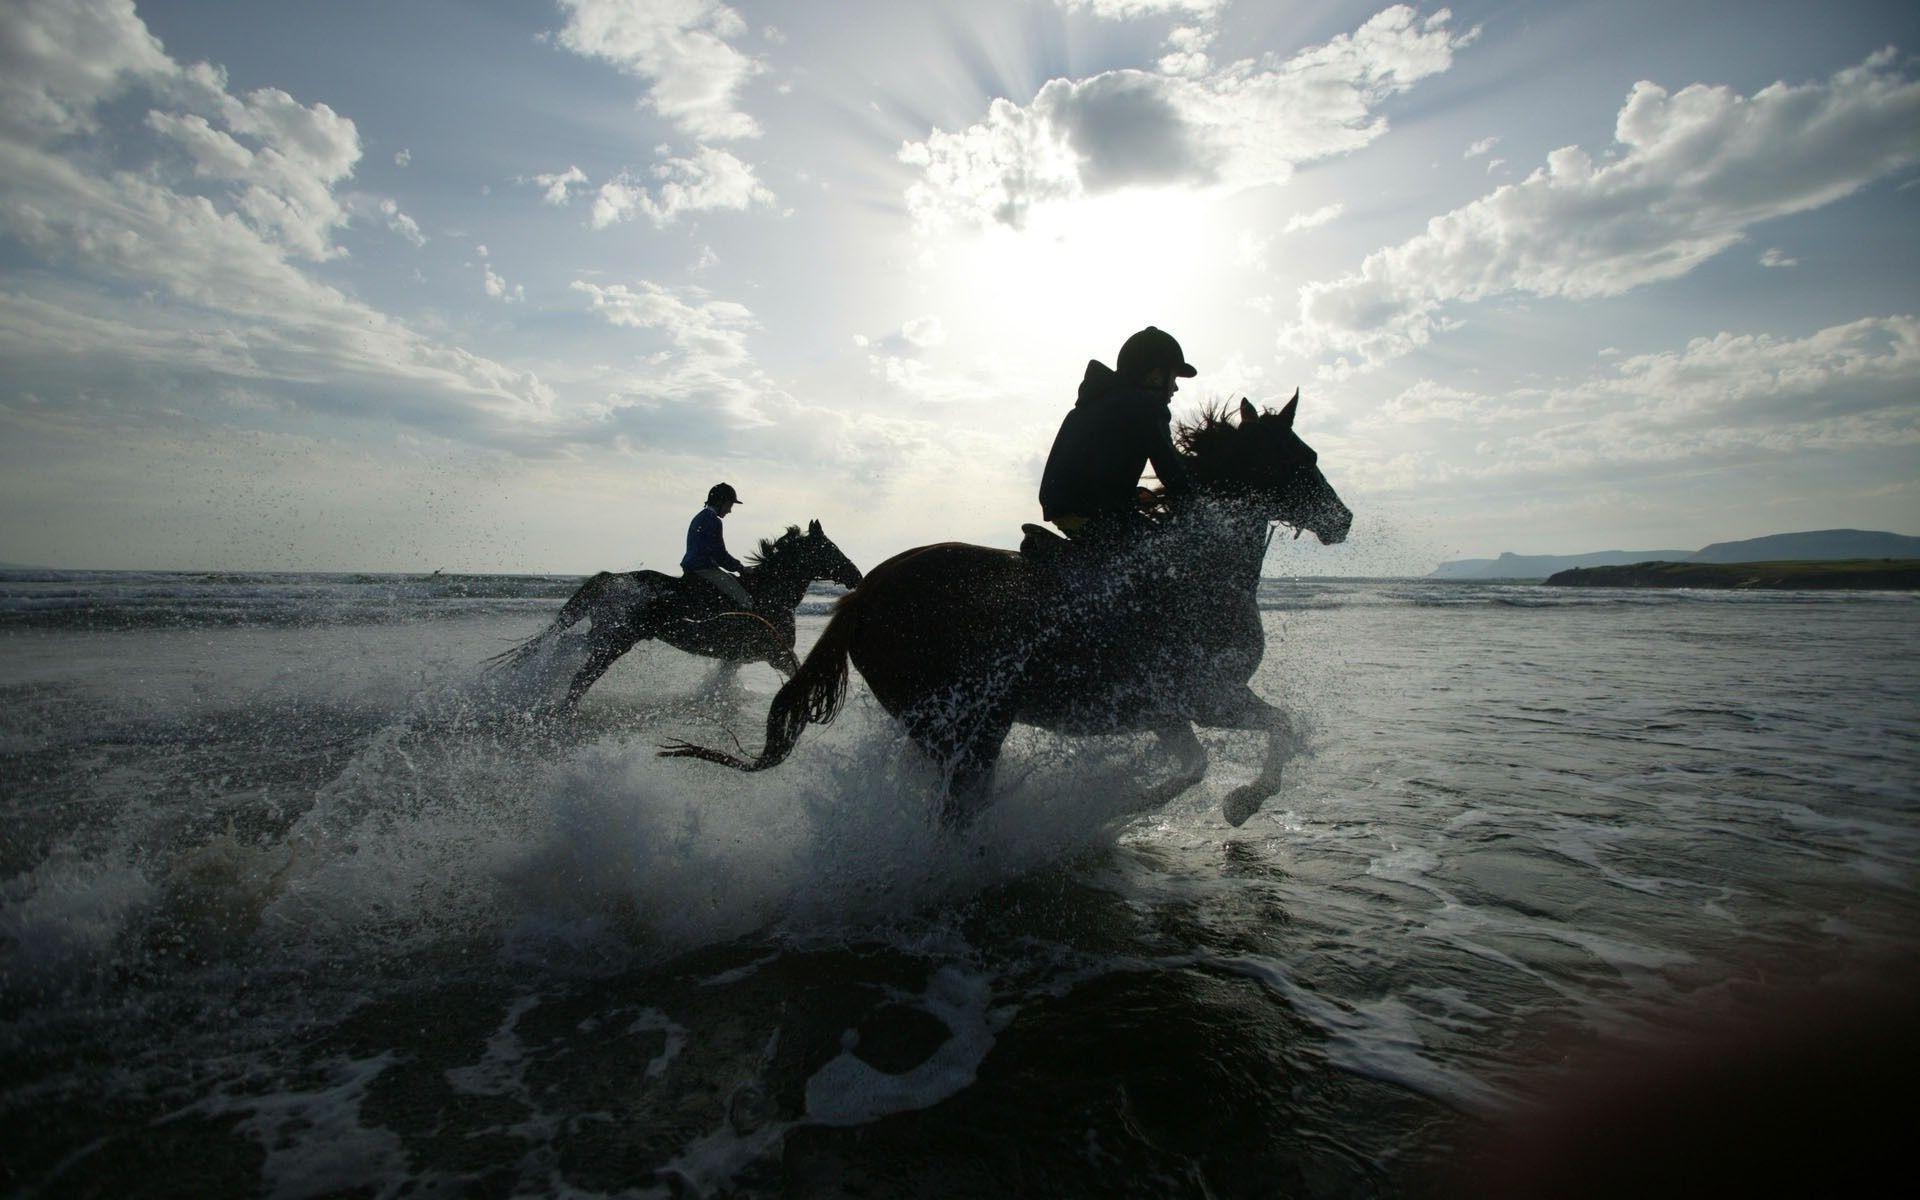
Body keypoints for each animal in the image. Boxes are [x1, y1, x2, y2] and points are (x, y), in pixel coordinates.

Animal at [488, 520, 864, 710]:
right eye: (829, 548)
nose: (856, 575)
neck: (769, 594)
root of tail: (611, 579)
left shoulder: (735, 657)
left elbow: (721, 682)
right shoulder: (774, 653)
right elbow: (797, 671)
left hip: (604, 634)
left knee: (568, 647)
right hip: (616, 640)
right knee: (581, 676)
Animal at [662, 393, 1351, 827]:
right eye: (1301, 458)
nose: (1341, 520)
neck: (1197, 569)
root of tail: (862, 596)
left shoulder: (1167, 711)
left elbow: (1196, 764)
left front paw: (1129, 804)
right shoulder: (1211, 696)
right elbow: (1280, 729)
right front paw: (1241, 803)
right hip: (966, 725)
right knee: (956, 807)